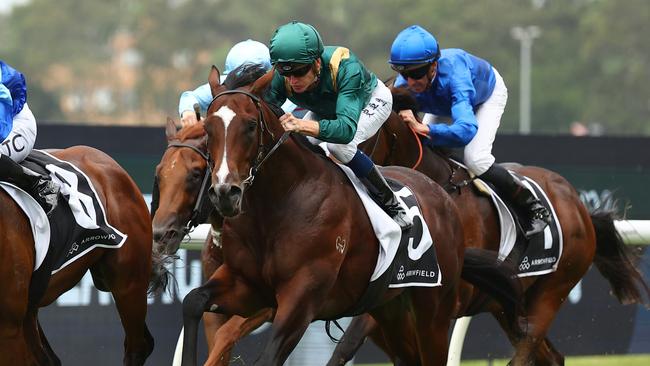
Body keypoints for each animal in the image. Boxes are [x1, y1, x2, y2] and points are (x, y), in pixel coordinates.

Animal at [177, 66, 520, 366]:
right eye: (208, 130)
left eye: (249, 125)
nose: (225, 192)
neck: (279, 204)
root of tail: (442, 196)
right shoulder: (247, 284)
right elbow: (193, 301)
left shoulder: (302, 297)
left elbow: (268, 357)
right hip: (390, 310)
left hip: (433, 311)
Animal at [330, 89, 648, 366]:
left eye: (360, 129)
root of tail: (579, 206)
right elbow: (348, 344)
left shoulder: (442, 293)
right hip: (508, 303)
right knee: (551, 357)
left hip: (553, 290)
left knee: (526, 351)